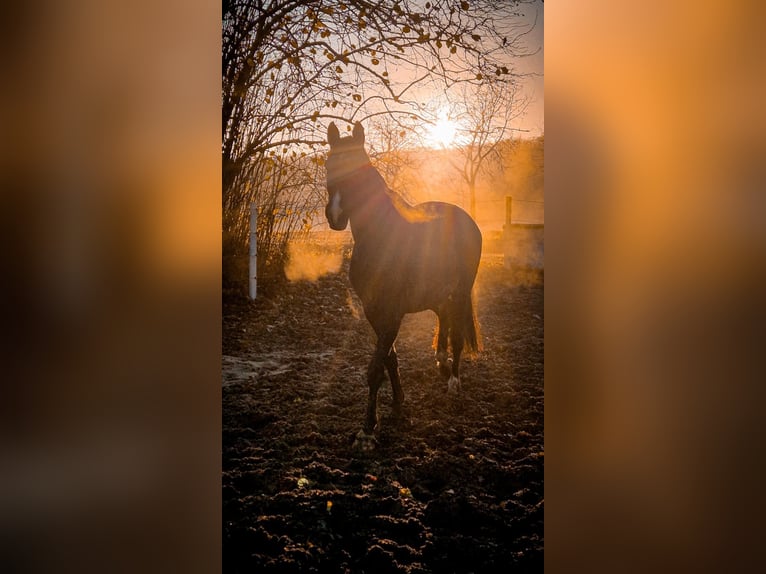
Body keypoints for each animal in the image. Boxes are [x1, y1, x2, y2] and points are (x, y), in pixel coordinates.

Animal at [324, 121, 482, 450]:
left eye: (358, 168)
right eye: (328, 164)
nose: (335, 215)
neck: (380, 237)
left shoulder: (392, 313)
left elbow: (375, 368)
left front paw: (367, 430)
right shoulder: (373, 311)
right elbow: (390, 360)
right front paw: (397, 404)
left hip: (461, 292)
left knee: (458, 336)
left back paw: (453, 380)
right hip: (440, 294)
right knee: (443, 322)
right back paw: (441, 363)